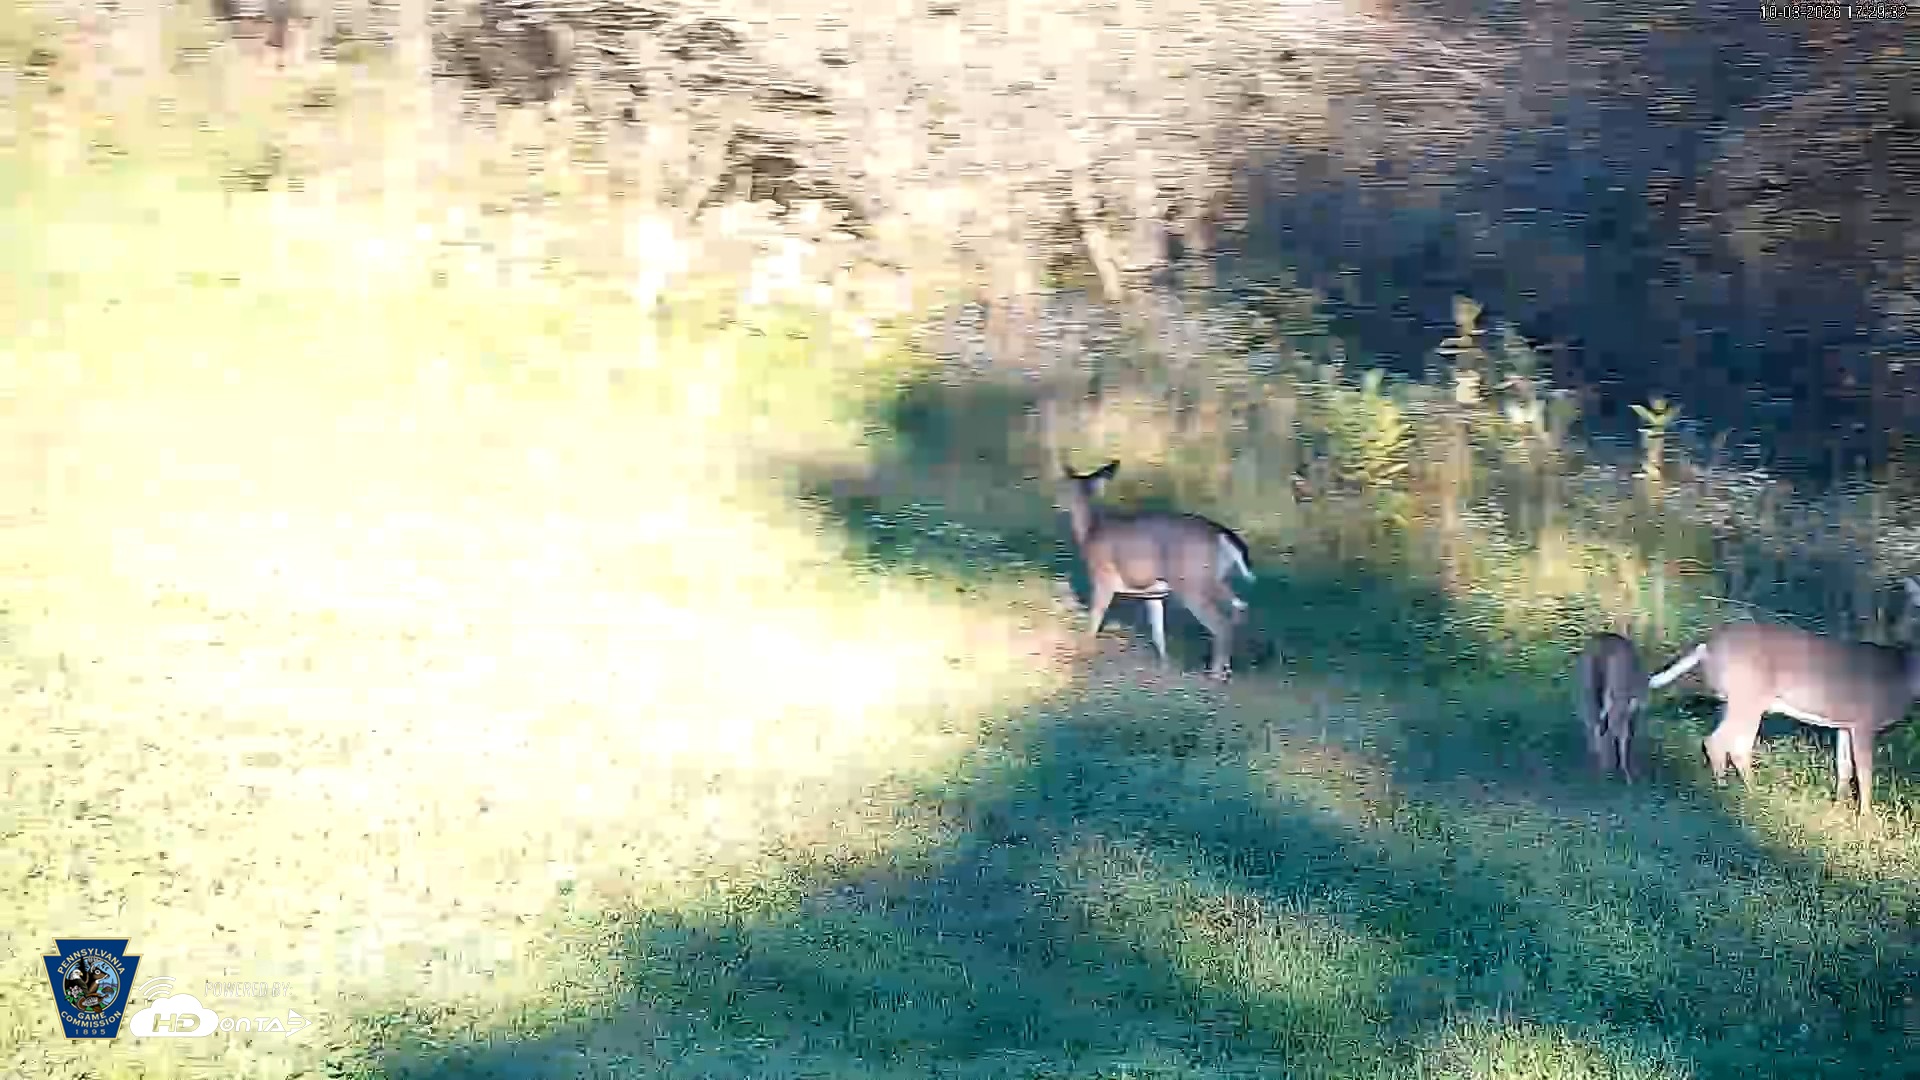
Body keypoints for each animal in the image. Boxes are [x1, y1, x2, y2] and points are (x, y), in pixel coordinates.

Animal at [1058, 459, 1256, 679]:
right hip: (1217, 579)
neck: (1089, 532)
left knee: (1222, 624)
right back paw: (1229, 669)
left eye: (1063, 486)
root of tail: (1222, 535)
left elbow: (1095, 618)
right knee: (1240, 609)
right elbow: (1158, 631)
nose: (1057, 503)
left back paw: (1214, 674)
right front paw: (1164, 666)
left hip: (1192, 583)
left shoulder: (1104, 577)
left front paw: (1085, 654)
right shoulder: (1153, 593)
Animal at [1647, 576, 1920, 816]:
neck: (1902, 674)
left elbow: (1844, 768)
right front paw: (1865, 818)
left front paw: (1838, 807)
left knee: (1733, 745)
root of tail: (1708, 645)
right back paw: (1736, 793)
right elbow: (1864, 773)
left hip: (1733, 701)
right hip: (1748, 697)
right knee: (1720, 743)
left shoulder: (1845, 723)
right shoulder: (1865, 721)